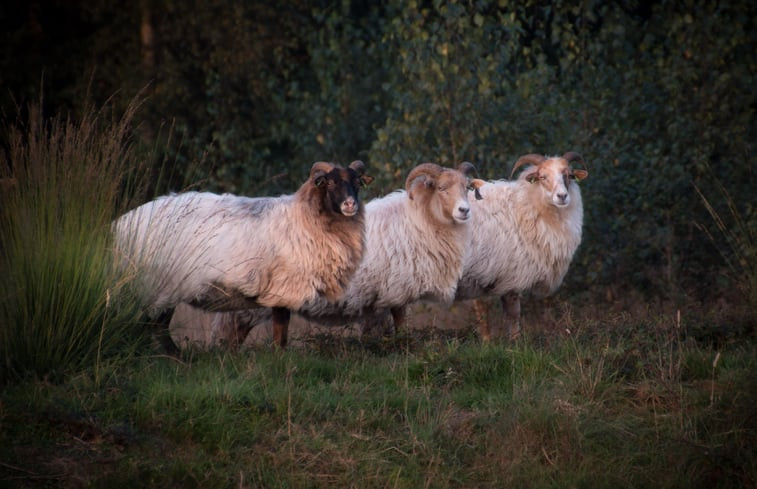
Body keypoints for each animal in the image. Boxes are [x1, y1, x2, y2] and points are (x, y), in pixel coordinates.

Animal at [113, 160, 372, 350]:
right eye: (330, 183)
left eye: (357, 183)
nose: (350, 204)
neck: (306, 217)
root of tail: (122, 224)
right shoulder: (283, 288)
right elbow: (281, 328)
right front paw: (280, 357)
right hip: (159, 285)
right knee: (153, 326)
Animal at [452, 152, 588, 340]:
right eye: (543, 177)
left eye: (568, 175)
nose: (562, 196)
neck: (523, 206)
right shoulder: (506, 275)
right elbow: (508, 315)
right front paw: (511, 343)